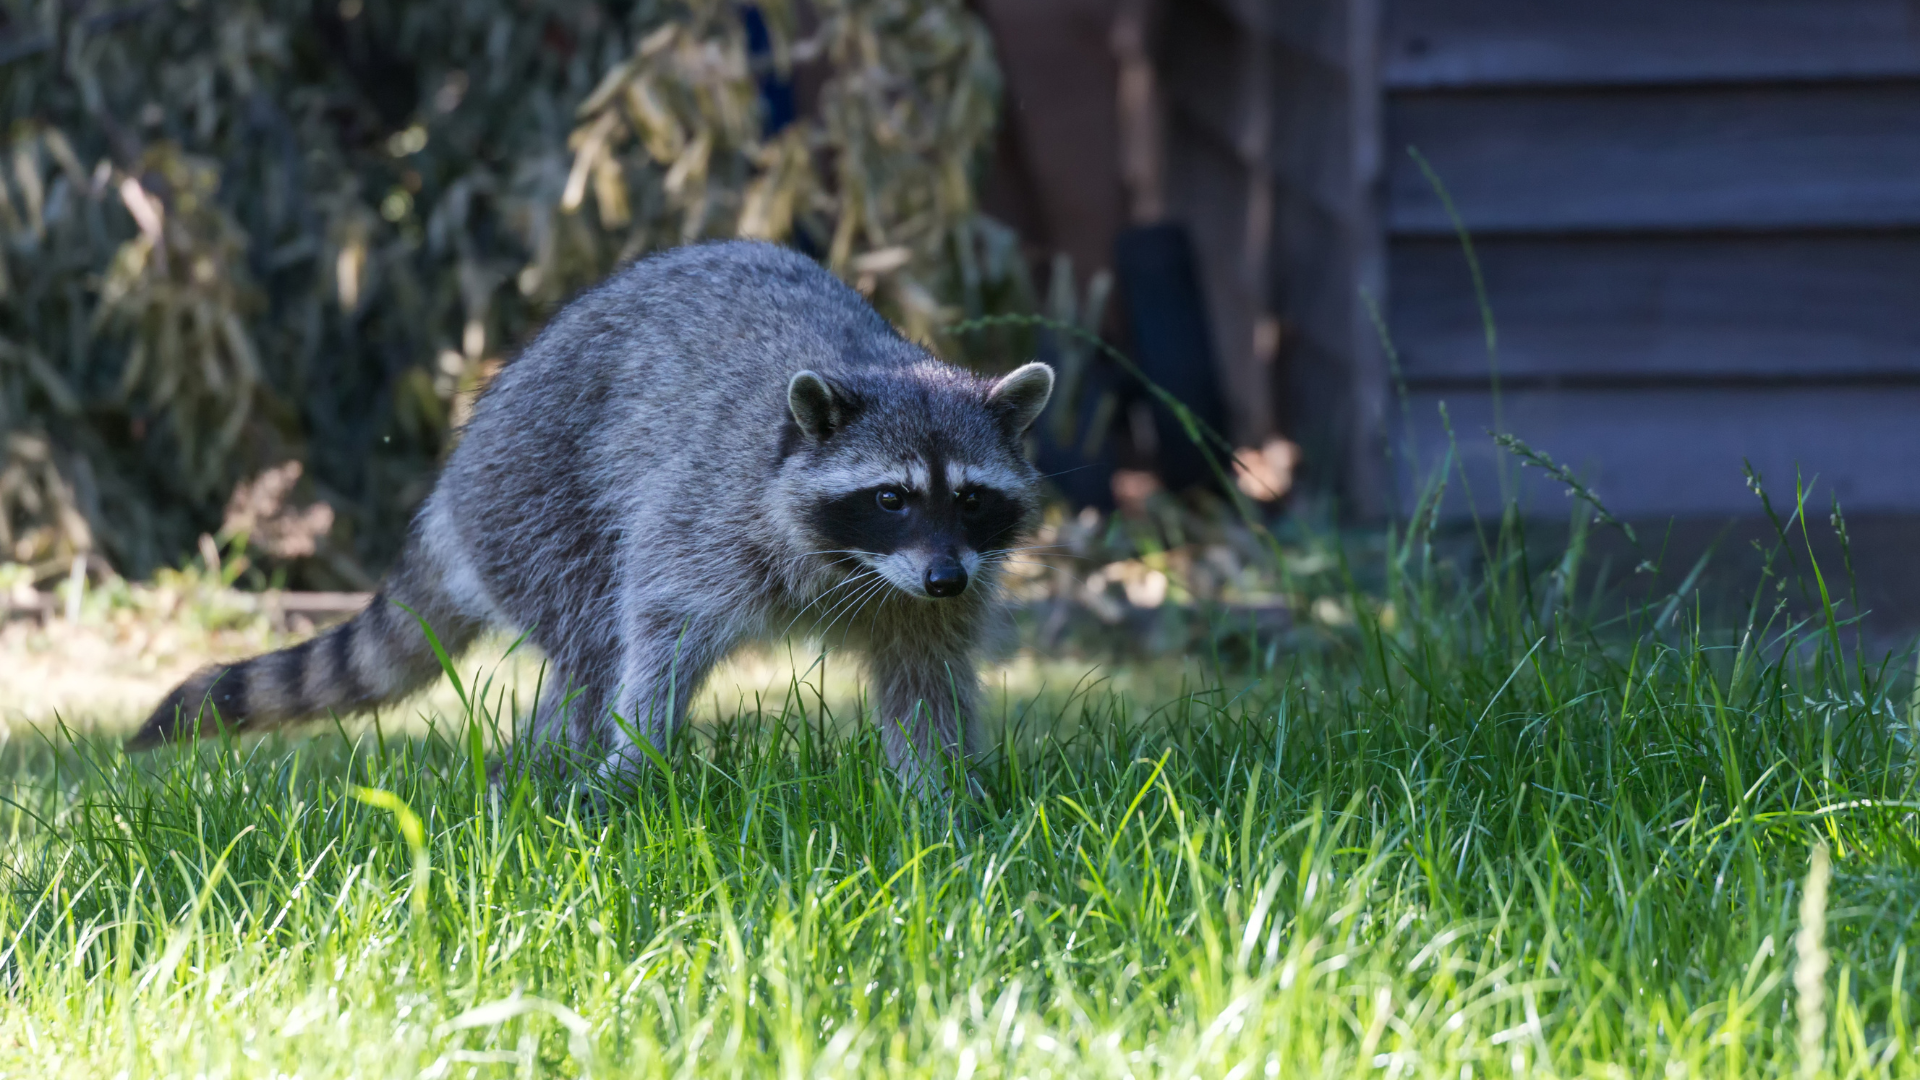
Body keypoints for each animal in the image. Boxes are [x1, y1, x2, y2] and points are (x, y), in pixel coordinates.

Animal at [128, 241, 1054, 794]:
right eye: (891, 498)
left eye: (971, 498)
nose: (944, 576)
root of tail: (453, 483)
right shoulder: (707, 514)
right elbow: (660, 632)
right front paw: (636, 756)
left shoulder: (928, 592)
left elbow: (923, 677)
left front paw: (940, 795)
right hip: (536, 499)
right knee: (592, 642)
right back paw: (549, 769)